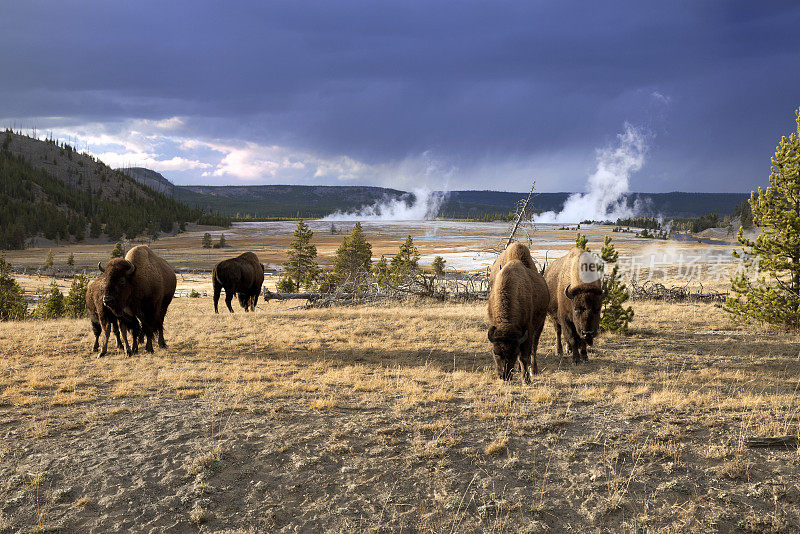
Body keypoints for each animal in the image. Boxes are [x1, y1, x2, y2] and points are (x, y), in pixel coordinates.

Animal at [488, 243, 552, 386]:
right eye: (495, 353)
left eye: (514, 353)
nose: (504, 376)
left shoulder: (528, 330)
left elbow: (524, 357)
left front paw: (526, 379)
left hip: (540, 324)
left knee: (534, 347)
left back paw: (534, 370)